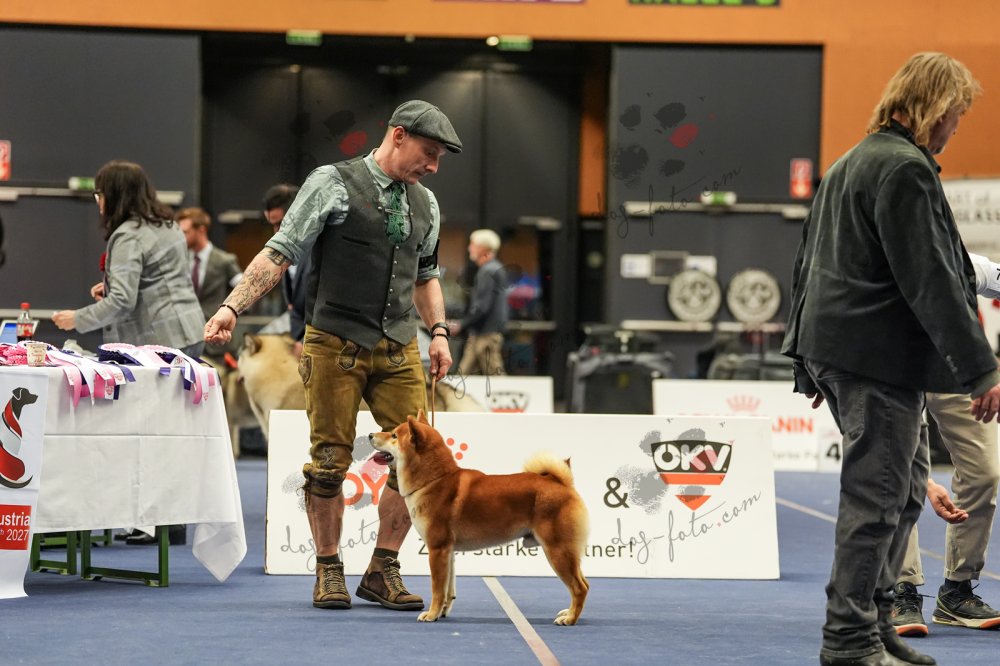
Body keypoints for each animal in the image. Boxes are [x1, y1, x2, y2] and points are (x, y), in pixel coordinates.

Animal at [369, 410, 590, 625]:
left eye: (394, 435)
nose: (370, 434)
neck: (434, 480)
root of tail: (561, 483)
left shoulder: (437, 549)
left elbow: (437, 589)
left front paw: (431, 615)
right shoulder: (448, 551)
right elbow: (448, 589)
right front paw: (442, 612)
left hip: (558, 550)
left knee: (580, 588)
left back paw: (570, 619)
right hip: (564, 551)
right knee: (582, 583)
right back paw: (568, 612)